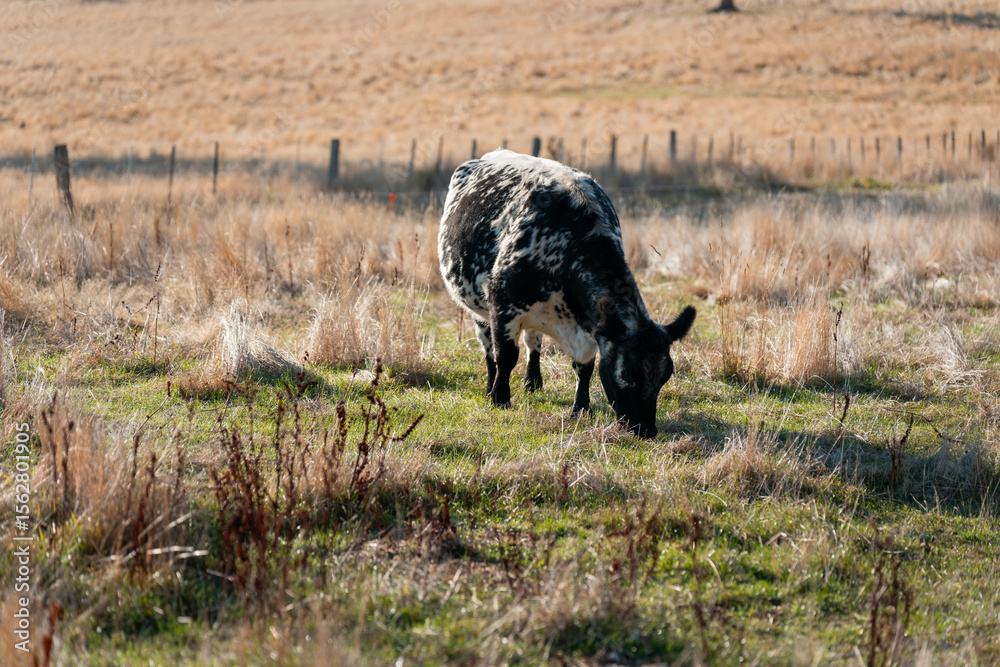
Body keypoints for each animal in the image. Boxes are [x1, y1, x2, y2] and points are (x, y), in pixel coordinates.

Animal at [437, 149, 695, 438]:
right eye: (628, 375)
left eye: (665, 376)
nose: (646, 430)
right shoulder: (503, 306)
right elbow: (505, 356)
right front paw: (499, 398)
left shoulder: (589, 325)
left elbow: (585, 367)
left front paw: (581, 408)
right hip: (476, 308)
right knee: (489, 348)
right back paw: (491, 384)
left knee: (533, 342)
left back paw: (533, 381)